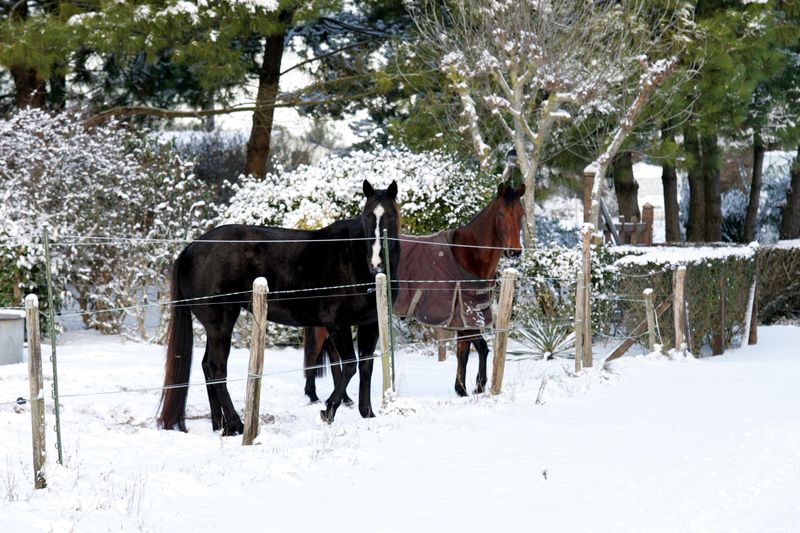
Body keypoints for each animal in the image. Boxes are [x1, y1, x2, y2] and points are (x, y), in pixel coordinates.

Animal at [157, 179, 400, 432]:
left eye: (391, 216)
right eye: (366, 217)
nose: (376, 264)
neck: (352, 260)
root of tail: (189, 249)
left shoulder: (370, 324)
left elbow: (366, 366)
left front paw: (367, 413)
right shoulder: (337, 324)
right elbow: (350, 366)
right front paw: (328, 410)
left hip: (214, 327)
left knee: (207, 366)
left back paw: (220, 424)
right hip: (221, 323)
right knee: (216, 367)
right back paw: (236, 424)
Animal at [302, 183, 524, 400]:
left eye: (520, 213)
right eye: (501, 213)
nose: (515, 251)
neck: (467, 255)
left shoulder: (463, 317)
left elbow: (464, 352)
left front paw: (462, 390)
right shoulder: (463, 315)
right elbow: (483, 348)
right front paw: (479, 386)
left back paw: (345, 399)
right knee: (316, 350)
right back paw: (313, 395)